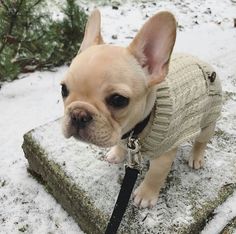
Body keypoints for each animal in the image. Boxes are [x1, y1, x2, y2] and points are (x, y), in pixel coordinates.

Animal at [60, 9, 221, 208]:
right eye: (63, 90)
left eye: (118, 100)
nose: (78, 114)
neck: (136, 129)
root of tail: (203, 62)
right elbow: (120, 146)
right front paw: (116, 154)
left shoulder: (164, 156)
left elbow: (155, 175)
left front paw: (145, 195)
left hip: (208, 121)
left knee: (201, 141)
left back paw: (196, 157)